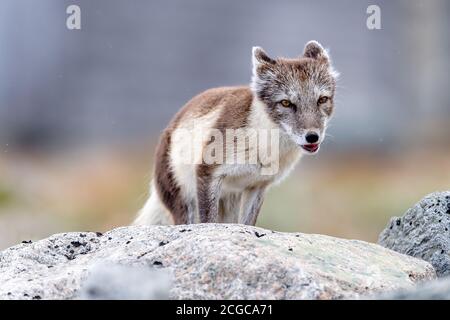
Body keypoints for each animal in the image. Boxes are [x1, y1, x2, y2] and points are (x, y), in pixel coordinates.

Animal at [134, 40, 338, 225]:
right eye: (286, 103)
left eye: (322, 100)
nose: (312, 136)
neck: (262, 144)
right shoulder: (207, 172)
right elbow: (208, 222)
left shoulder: (257, 185)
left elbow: (247, 224)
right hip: (184, 199)